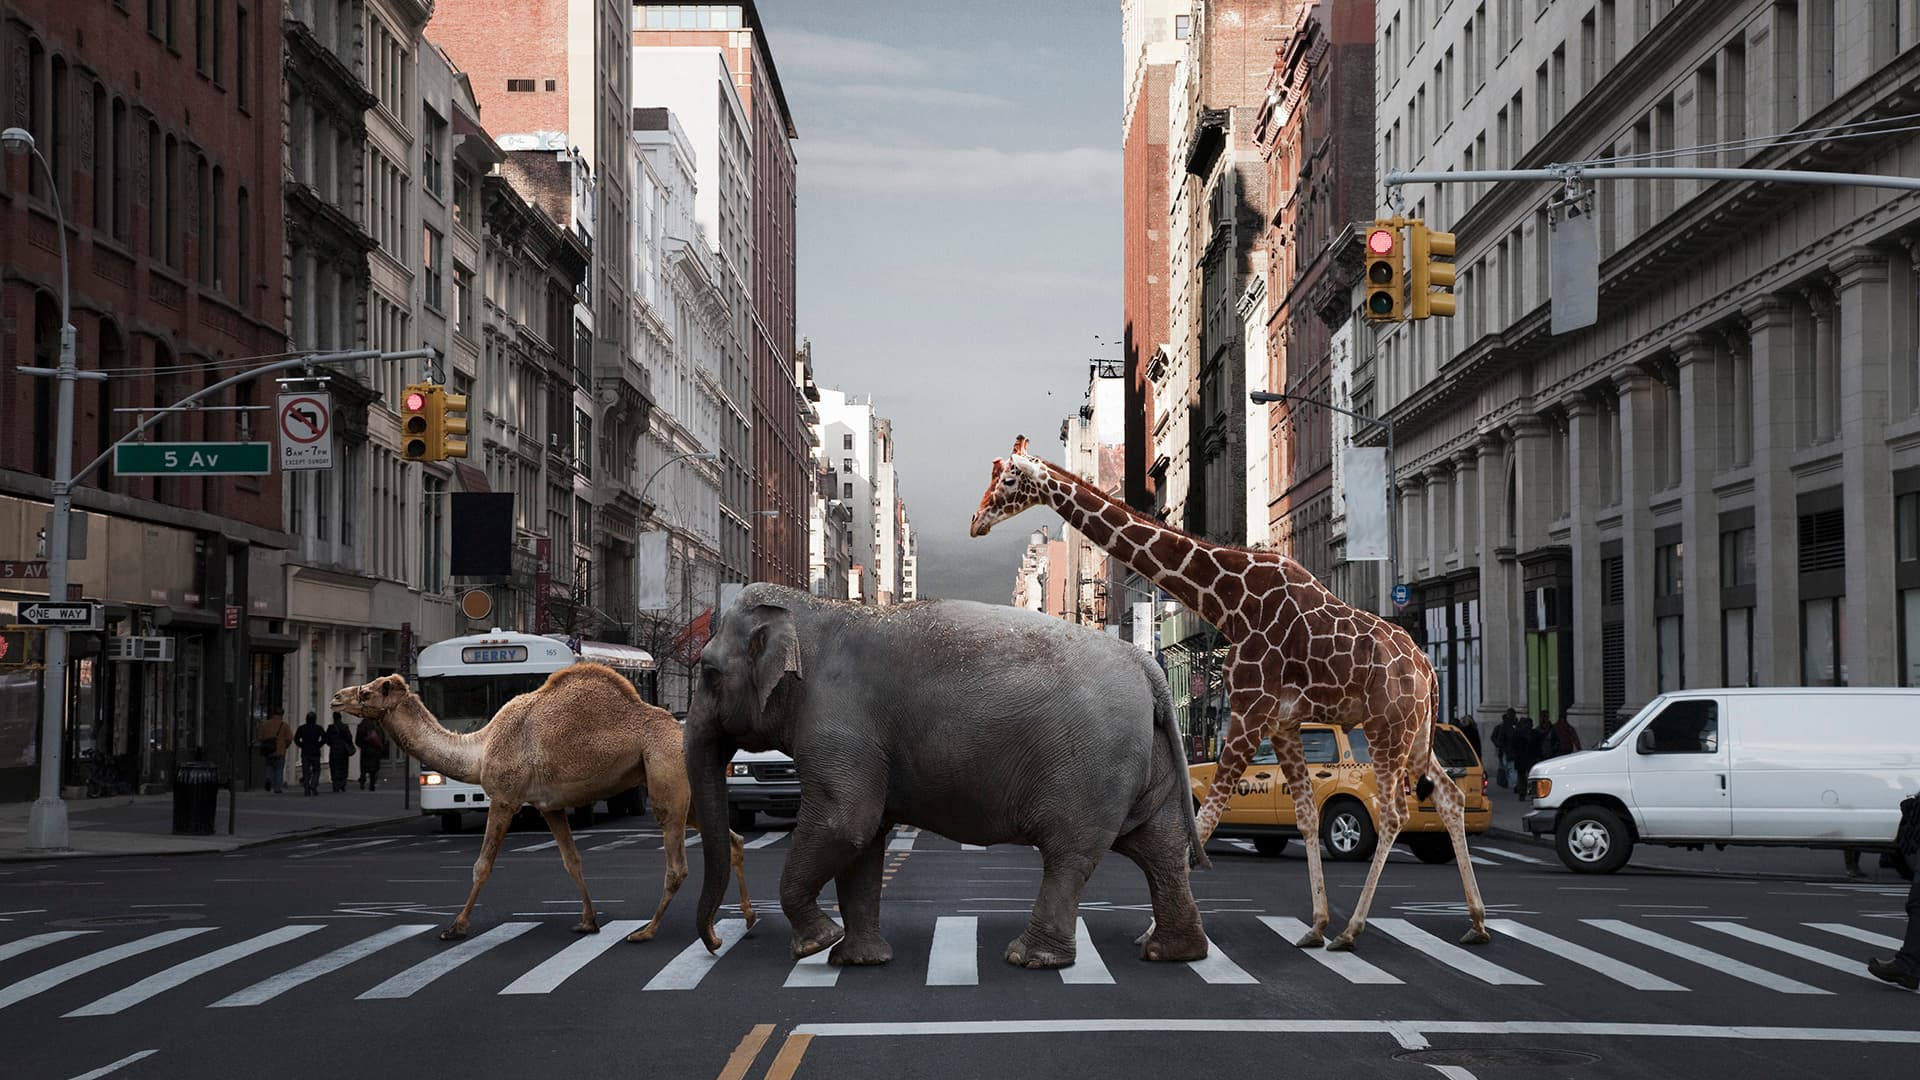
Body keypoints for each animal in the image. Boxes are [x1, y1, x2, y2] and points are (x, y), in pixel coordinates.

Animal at [331, 665, 756, 943]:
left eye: (368, 692)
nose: (336, 697)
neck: (480, 750)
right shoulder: (549, 806)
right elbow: (572, 861)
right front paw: (588, 921)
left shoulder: (505, 797)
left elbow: (482, 865)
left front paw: (456, 926)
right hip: (688, 793)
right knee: (733, 839)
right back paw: (748, 919)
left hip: (666, 780)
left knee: (677, 865)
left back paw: (648, 931)